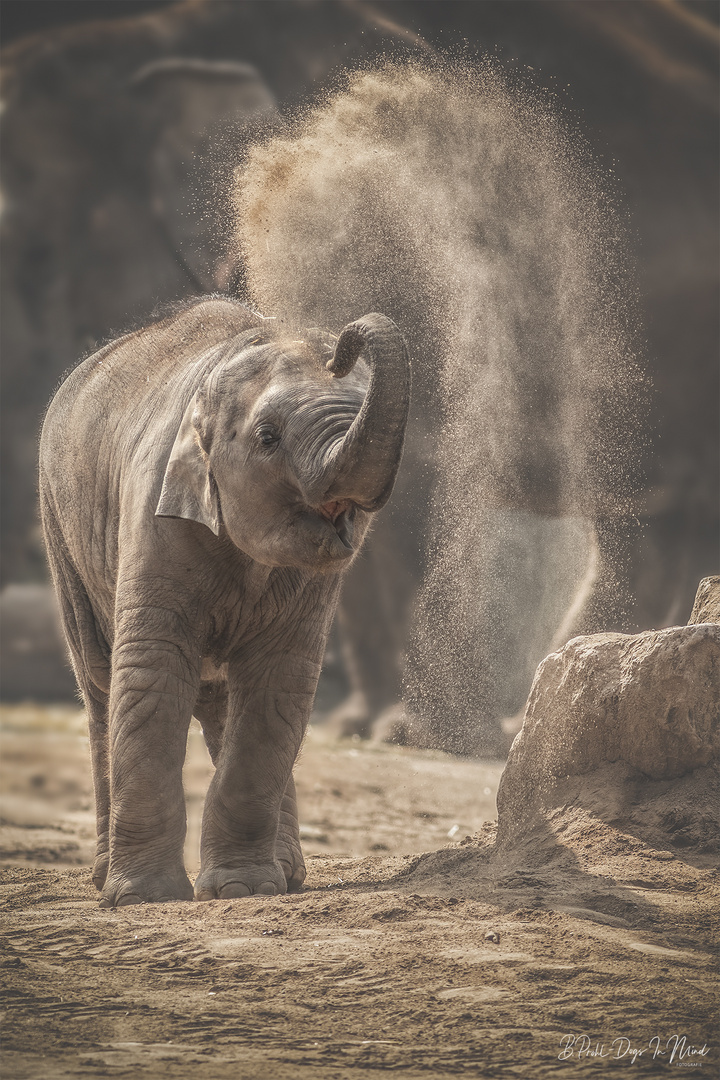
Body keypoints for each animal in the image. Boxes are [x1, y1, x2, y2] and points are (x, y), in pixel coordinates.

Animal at [39, 300, 410, 907]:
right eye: (268, 436)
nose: (342, 346)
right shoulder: (153, 510)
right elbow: (151, 673)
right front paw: (145, 899)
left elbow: (278, 689)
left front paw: (242, 889)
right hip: (59, 534)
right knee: (99, 683)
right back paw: (105, 877)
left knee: (225, 699)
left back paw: (286, 876)